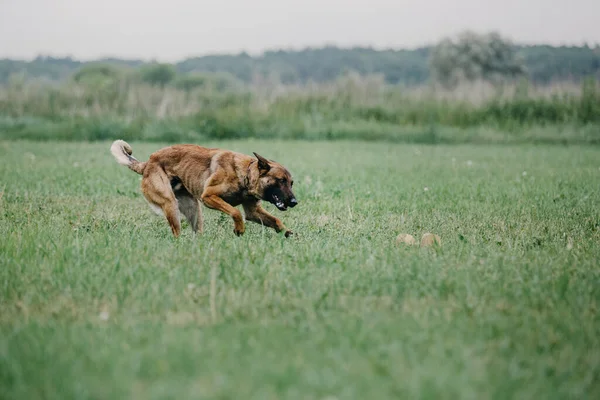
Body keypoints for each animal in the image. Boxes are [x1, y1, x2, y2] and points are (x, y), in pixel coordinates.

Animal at [110, 140, 298, 238]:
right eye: (280, 180)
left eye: (291, 183)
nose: (295, 202)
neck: (245, 174)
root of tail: (147, 163)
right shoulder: (208, 196)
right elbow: (235, 212)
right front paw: (239, 229)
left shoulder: (253, 212)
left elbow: (276, 220)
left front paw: (287, 232)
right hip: (171, 203)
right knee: (176, 231)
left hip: (194, 208)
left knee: (196, 232)